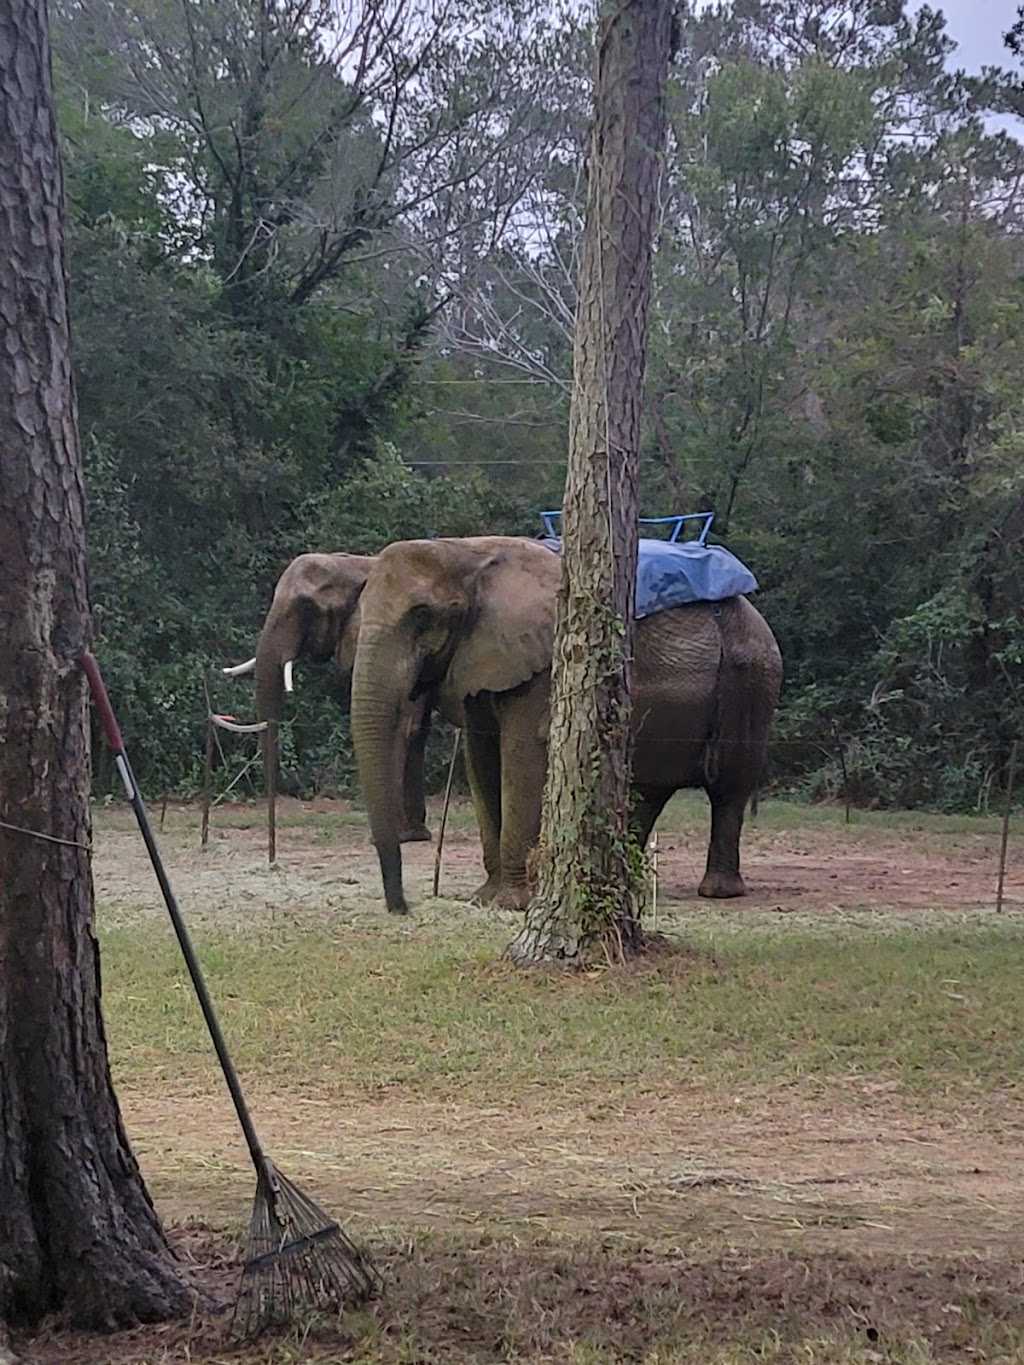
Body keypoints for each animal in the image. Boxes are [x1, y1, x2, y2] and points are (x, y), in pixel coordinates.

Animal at [226, 548, 439, 835]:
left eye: (307, 607)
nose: (293, 788)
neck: (353, 564)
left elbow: (404, 725)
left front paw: (400, 833)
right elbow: (416, 728)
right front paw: (415, 833)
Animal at [352, 537, 786, 911]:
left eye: (422, 615)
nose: (402, 907)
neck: (465, 551)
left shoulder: (546, 663)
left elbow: (520, 757)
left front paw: (512, 903)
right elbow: (481, 759)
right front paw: (485, 899)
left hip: (753, 678)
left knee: (729, 786)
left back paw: (717, 891)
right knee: (651, 789)